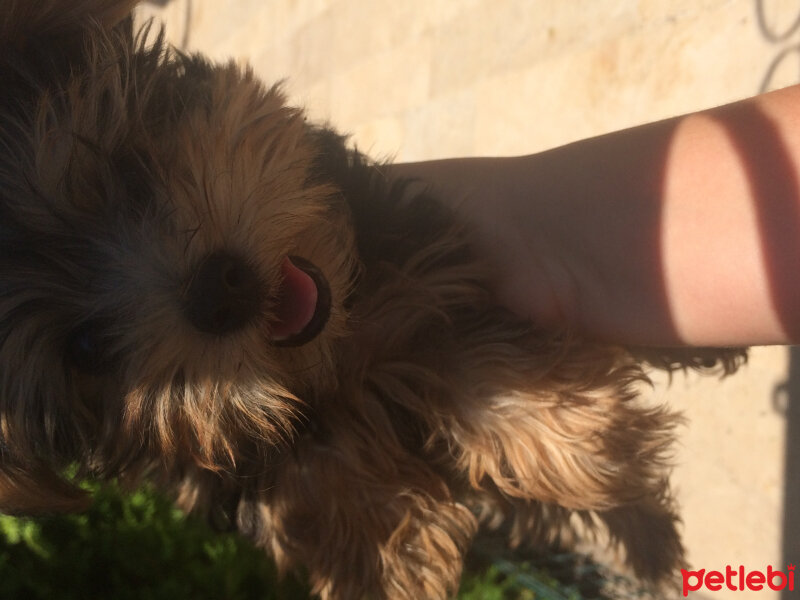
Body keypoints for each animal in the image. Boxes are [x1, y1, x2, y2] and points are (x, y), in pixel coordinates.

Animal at [1, 2, 752, 596]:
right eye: (85, 347)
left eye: (129, 171)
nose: (217, 291)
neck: (333, 357)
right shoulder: (236, 461)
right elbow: (316, 483)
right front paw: (392, 553)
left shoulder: (423, 273)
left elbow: (480, 365)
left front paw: (589, 442)